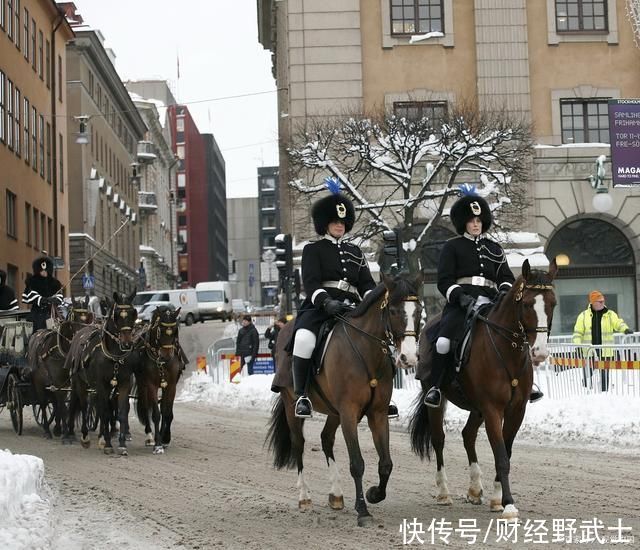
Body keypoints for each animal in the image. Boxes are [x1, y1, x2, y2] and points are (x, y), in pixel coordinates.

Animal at [266, 274, 422, 528]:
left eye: (418, 311)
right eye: (394, 311)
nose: (408, 358)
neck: (365, 350)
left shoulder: (378, 414)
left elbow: (386, 463)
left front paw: (374, 494)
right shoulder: (349, 411)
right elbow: (357, 463)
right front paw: (363, 511)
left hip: (334, 412)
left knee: (326, 439)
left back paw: (336, 495)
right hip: (292, 405)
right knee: (298, 443)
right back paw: (304, 497)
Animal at [410, 260, 556, 520]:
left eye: (553, 304)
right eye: (527, 304)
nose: (539, 353)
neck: (506, 350)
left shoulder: (516, 411)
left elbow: (506, 452)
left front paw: (497, 499)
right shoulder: (492, 409)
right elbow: (501, 456)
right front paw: (509, 504)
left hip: (476, 408)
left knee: (468, 435)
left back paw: (475, 489)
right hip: (438, 401)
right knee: (439, 440)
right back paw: (444, 492)